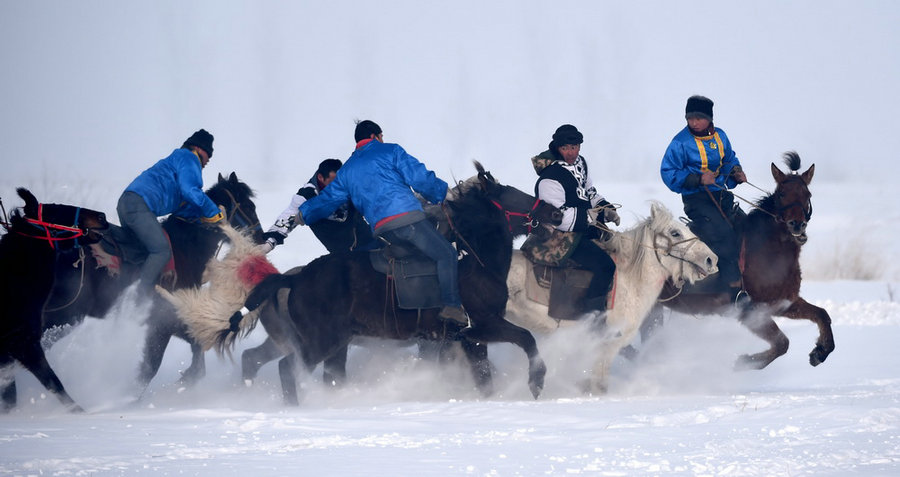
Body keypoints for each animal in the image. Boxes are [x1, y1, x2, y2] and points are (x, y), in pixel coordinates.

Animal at [41, 171, 264, 394]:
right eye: (249, 206)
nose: (261, 237)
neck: (185, 248)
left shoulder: (171, 320)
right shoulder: (162, 323)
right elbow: (150, 369)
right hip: (63, 315)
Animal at [176, 162, 564, 404]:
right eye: (511, 194)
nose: (555, 212)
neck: (474, 261)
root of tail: (291, 279)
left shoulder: (467, 339)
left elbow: (484, 376)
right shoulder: (484, 325)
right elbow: (528, 340)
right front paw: (537, 382)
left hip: (324, 343)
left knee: (266, 362)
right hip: (320, 342)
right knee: (288, 369)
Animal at [652, 152, 832, 368]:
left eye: (808, 195)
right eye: (781, 194)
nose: (797, 225)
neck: (768, 252)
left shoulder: (783, 303)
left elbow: (822, 315)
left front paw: (820, 352)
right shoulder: (750, 312)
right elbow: (782, 343)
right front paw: (744, 363)